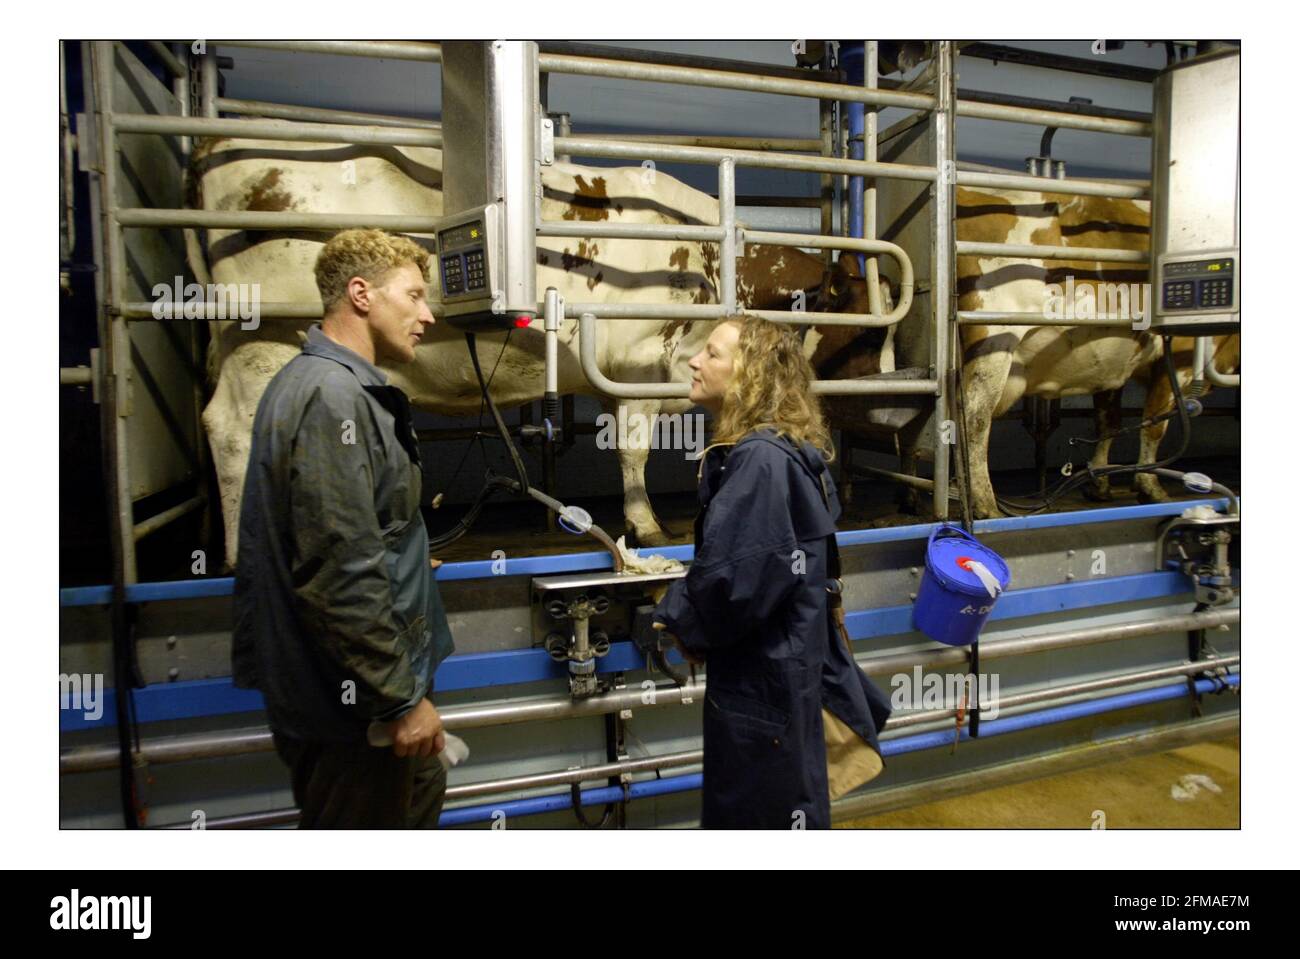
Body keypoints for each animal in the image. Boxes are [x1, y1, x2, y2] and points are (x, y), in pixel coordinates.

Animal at [185, 138, 821, 563]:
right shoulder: (641, 358)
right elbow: (634, 451)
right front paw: (647, 526)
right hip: (262, 334)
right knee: (233, 427)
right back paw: (237, 552)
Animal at [806, 184, 1242, 514]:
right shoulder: (1179, 355)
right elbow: (1156, 424)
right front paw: (1150, 487)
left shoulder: (1113, 364)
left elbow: (1109, 421)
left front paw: (1099, 482)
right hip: (996, 340)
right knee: (973, 418)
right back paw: (984, 504)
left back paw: (915, 496)